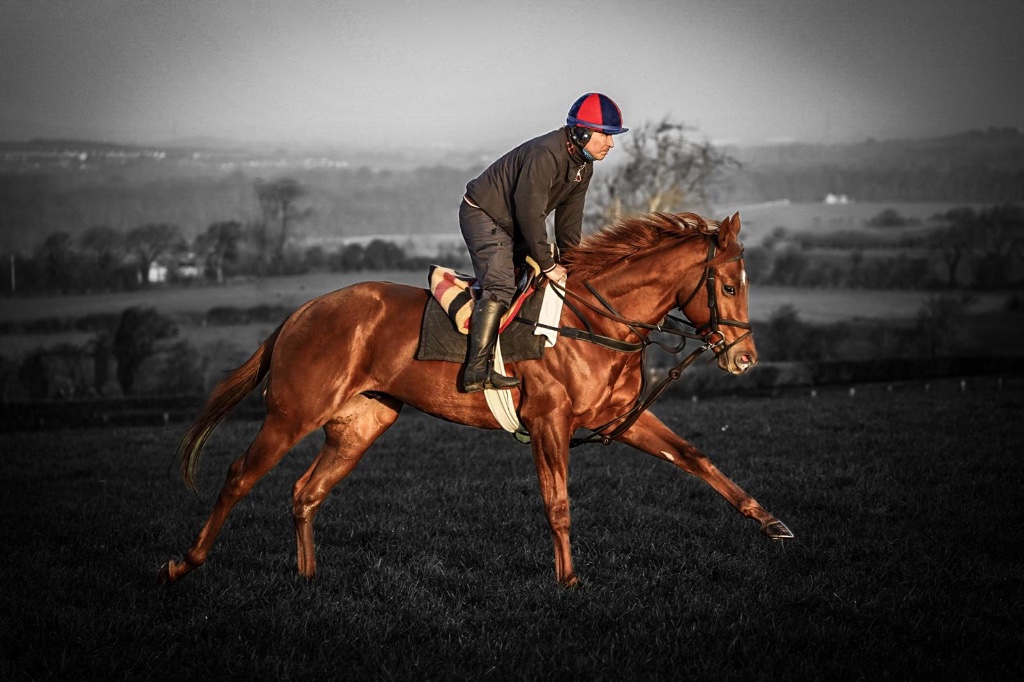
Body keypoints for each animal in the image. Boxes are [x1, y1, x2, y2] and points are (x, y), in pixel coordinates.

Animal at [159, 211, 793, 588]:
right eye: (729, 285)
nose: (745, 358)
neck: (595, 323)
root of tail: (298, 314)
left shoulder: (621, 419)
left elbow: (694, 457)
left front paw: (770, 523)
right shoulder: (550, 423)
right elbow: (558, 504)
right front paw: (568, 582)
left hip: (360, 425)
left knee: (304, 491)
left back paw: (309, 577)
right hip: (292, 414)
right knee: (240, 475)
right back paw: (185, 561)